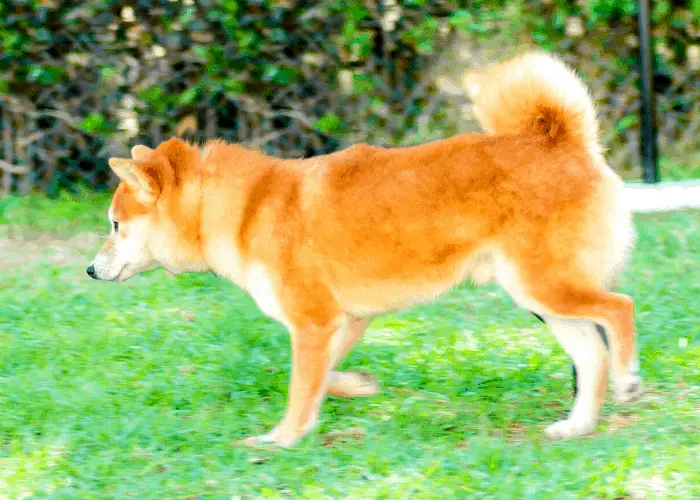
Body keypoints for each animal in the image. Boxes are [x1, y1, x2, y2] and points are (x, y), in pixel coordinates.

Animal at [86, 52, 640, 448]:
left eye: (115, 224)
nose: (90, 269)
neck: (246, 210)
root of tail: (564, 143)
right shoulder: (345, 321)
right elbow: (320, 380)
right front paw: (356, 388)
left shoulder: (313, 323)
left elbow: (299, 389)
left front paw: (280, 439)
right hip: (538, 298)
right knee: (591, 354)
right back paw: (577, 426)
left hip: (544, 287)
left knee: (620, 309)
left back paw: (628, 380)